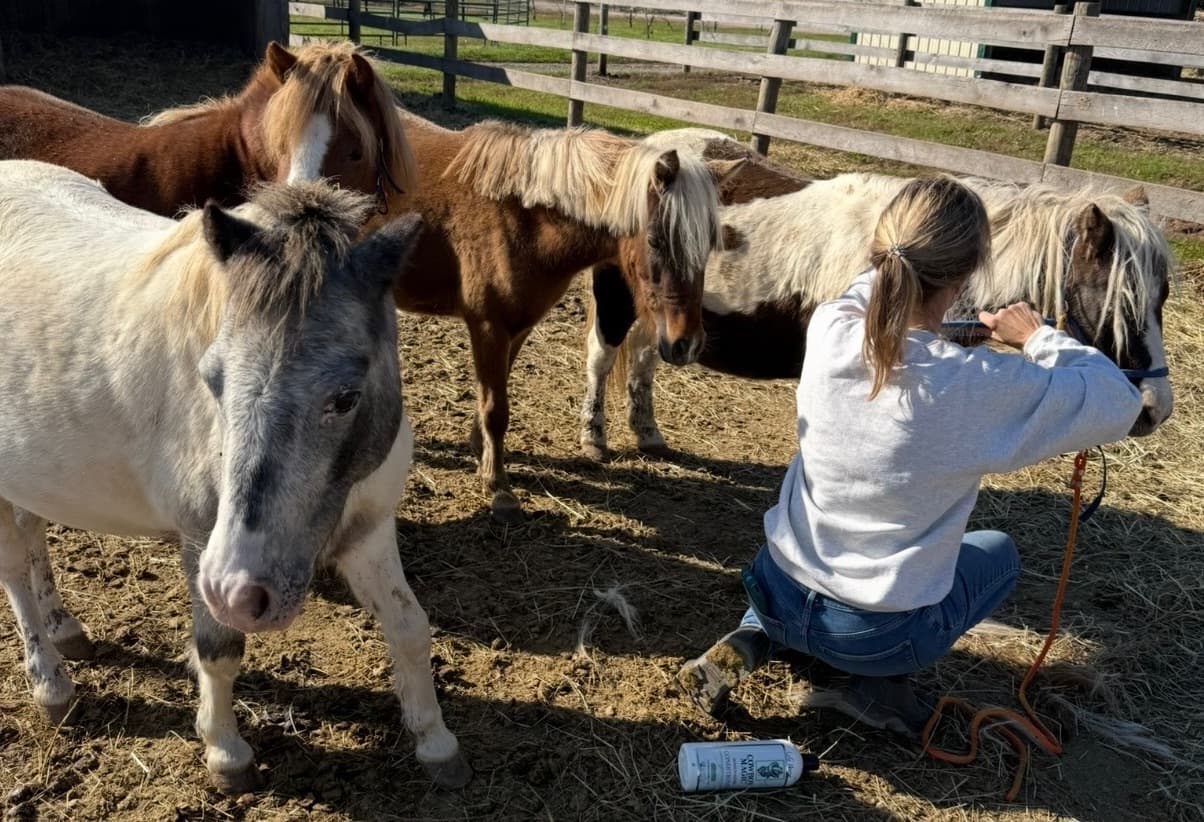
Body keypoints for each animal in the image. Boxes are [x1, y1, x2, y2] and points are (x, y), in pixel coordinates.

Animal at [0, 162, 469, 793]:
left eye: (346, 397)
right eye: (213, 380)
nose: (238, 590)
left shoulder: (367, 529)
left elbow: (410, 625)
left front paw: (435, 740)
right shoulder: (201, 540)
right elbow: (217, 650)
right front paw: (225, 752)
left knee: (33, 535)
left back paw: (64, 627)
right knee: (13, 573)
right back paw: (50, 682)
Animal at [384, 113, 741, 522]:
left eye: (710, 243)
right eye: (655, 241)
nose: (687, 344)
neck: (520, 217)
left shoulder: (517, 327)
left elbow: (492, 396)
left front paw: (482, 456)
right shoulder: (489, 326)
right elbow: (495, 410)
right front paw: (499, 488)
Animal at [579, 134, 1174, 457]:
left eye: (1162, 297)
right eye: (1117, 302)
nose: (1155, 409)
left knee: (645, 359)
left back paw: (648, 433)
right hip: (617, 301)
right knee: (603, 356)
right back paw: (595, 437)